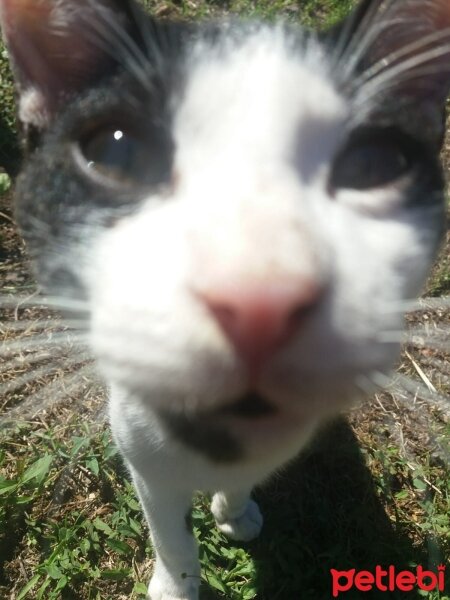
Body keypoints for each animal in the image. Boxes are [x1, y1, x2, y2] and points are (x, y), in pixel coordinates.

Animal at [0, 0, 448, 596]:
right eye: (117, 151)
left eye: (375, 163)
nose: (260, 299)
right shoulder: (146, 465)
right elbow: (171, 537)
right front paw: (176, 584)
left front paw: (235, 511)